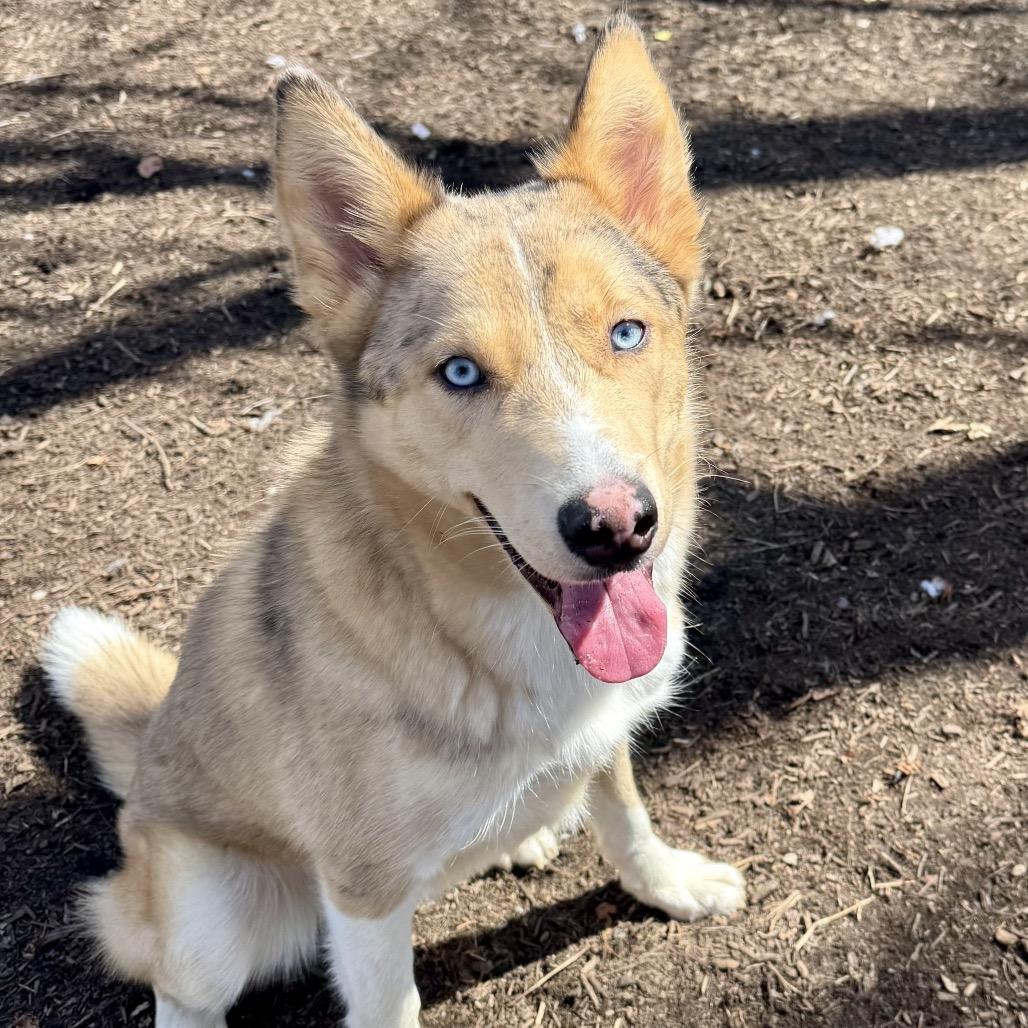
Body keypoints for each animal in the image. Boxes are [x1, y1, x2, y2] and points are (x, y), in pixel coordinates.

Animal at [40, 15, 745, 1028]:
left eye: (625, 333)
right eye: (460, 372)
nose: (615, 528)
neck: (492, 640)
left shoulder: (607, 733)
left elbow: (625, 811)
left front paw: (669, 882)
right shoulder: (363, 892)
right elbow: (390, 1001)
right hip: (216, 909)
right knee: (181, 988)